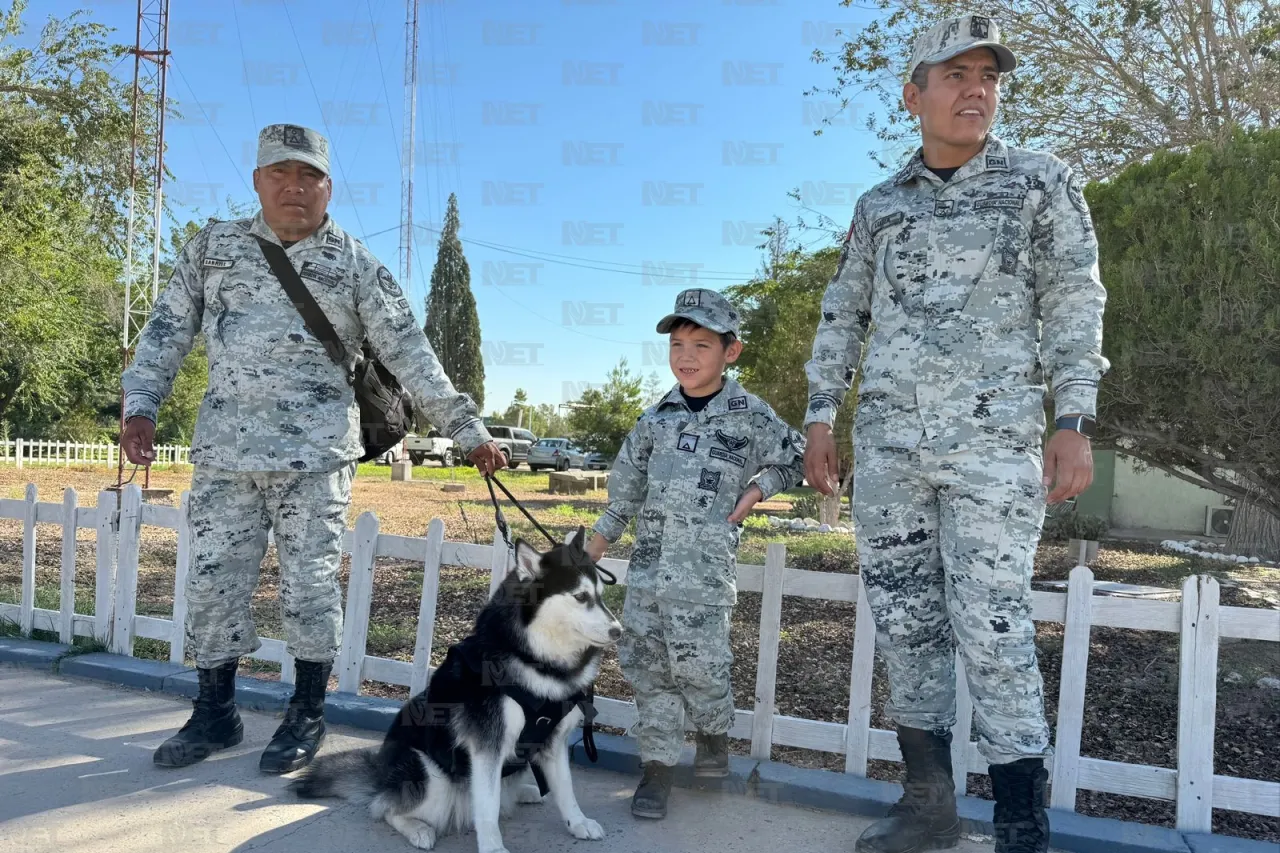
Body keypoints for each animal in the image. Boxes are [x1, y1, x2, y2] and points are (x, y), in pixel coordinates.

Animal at [286, 525, 624, 850]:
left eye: (601, 595)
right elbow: (486, 807)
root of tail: (381, 777)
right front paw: (493, 847)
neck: (535, 658)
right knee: (384, 808)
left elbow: (566, 790)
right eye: (580, 597)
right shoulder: (487, 746)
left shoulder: (553, 740)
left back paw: (527, 792)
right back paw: (418, 829)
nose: (618, 631)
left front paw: (578, 823)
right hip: (430, 776)